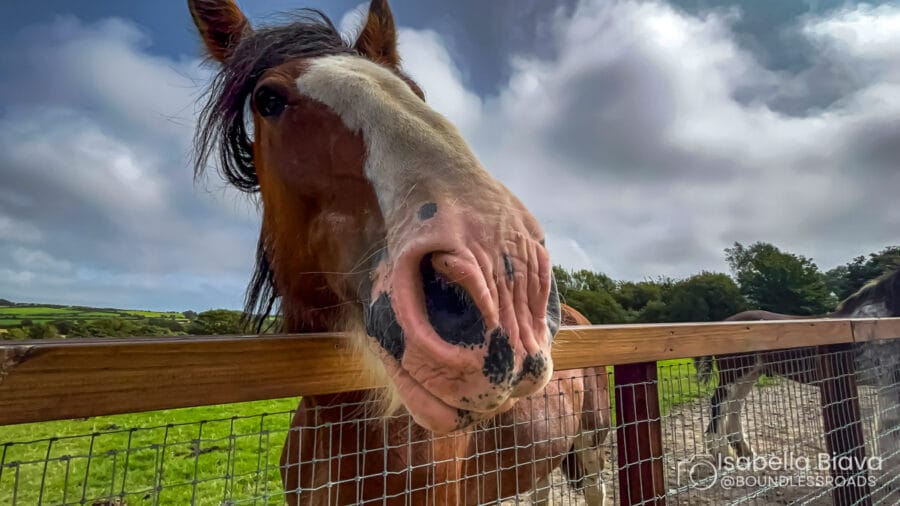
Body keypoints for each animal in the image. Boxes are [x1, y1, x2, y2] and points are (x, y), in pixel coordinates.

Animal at [694, 269, 900, 466]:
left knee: (734, 408)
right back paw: (723, 455)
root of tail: (724, 322)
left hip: (750, 375)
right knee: (719, 406)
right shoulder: (890, 384)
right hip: (734, 375)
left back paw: (745, 453)